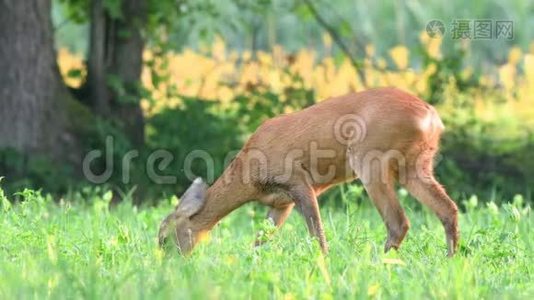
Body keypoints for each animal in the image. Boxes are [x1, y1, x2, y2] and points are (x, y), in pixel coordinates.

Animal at [158, 86, 460, 255]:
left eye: (163, 237)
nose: (167, 262)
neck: (250, 176)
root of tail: (432, 116)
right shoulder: (281, 202)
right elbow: (261, 239)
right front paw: (250, 263)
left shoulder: (298, 181)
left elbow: (317, 233)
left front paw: (323, 262)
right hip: (415, 164)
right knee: (448, 209)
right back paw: (450, 259)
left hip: (370, 158)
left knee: (399, 222)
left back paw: (374, 263)